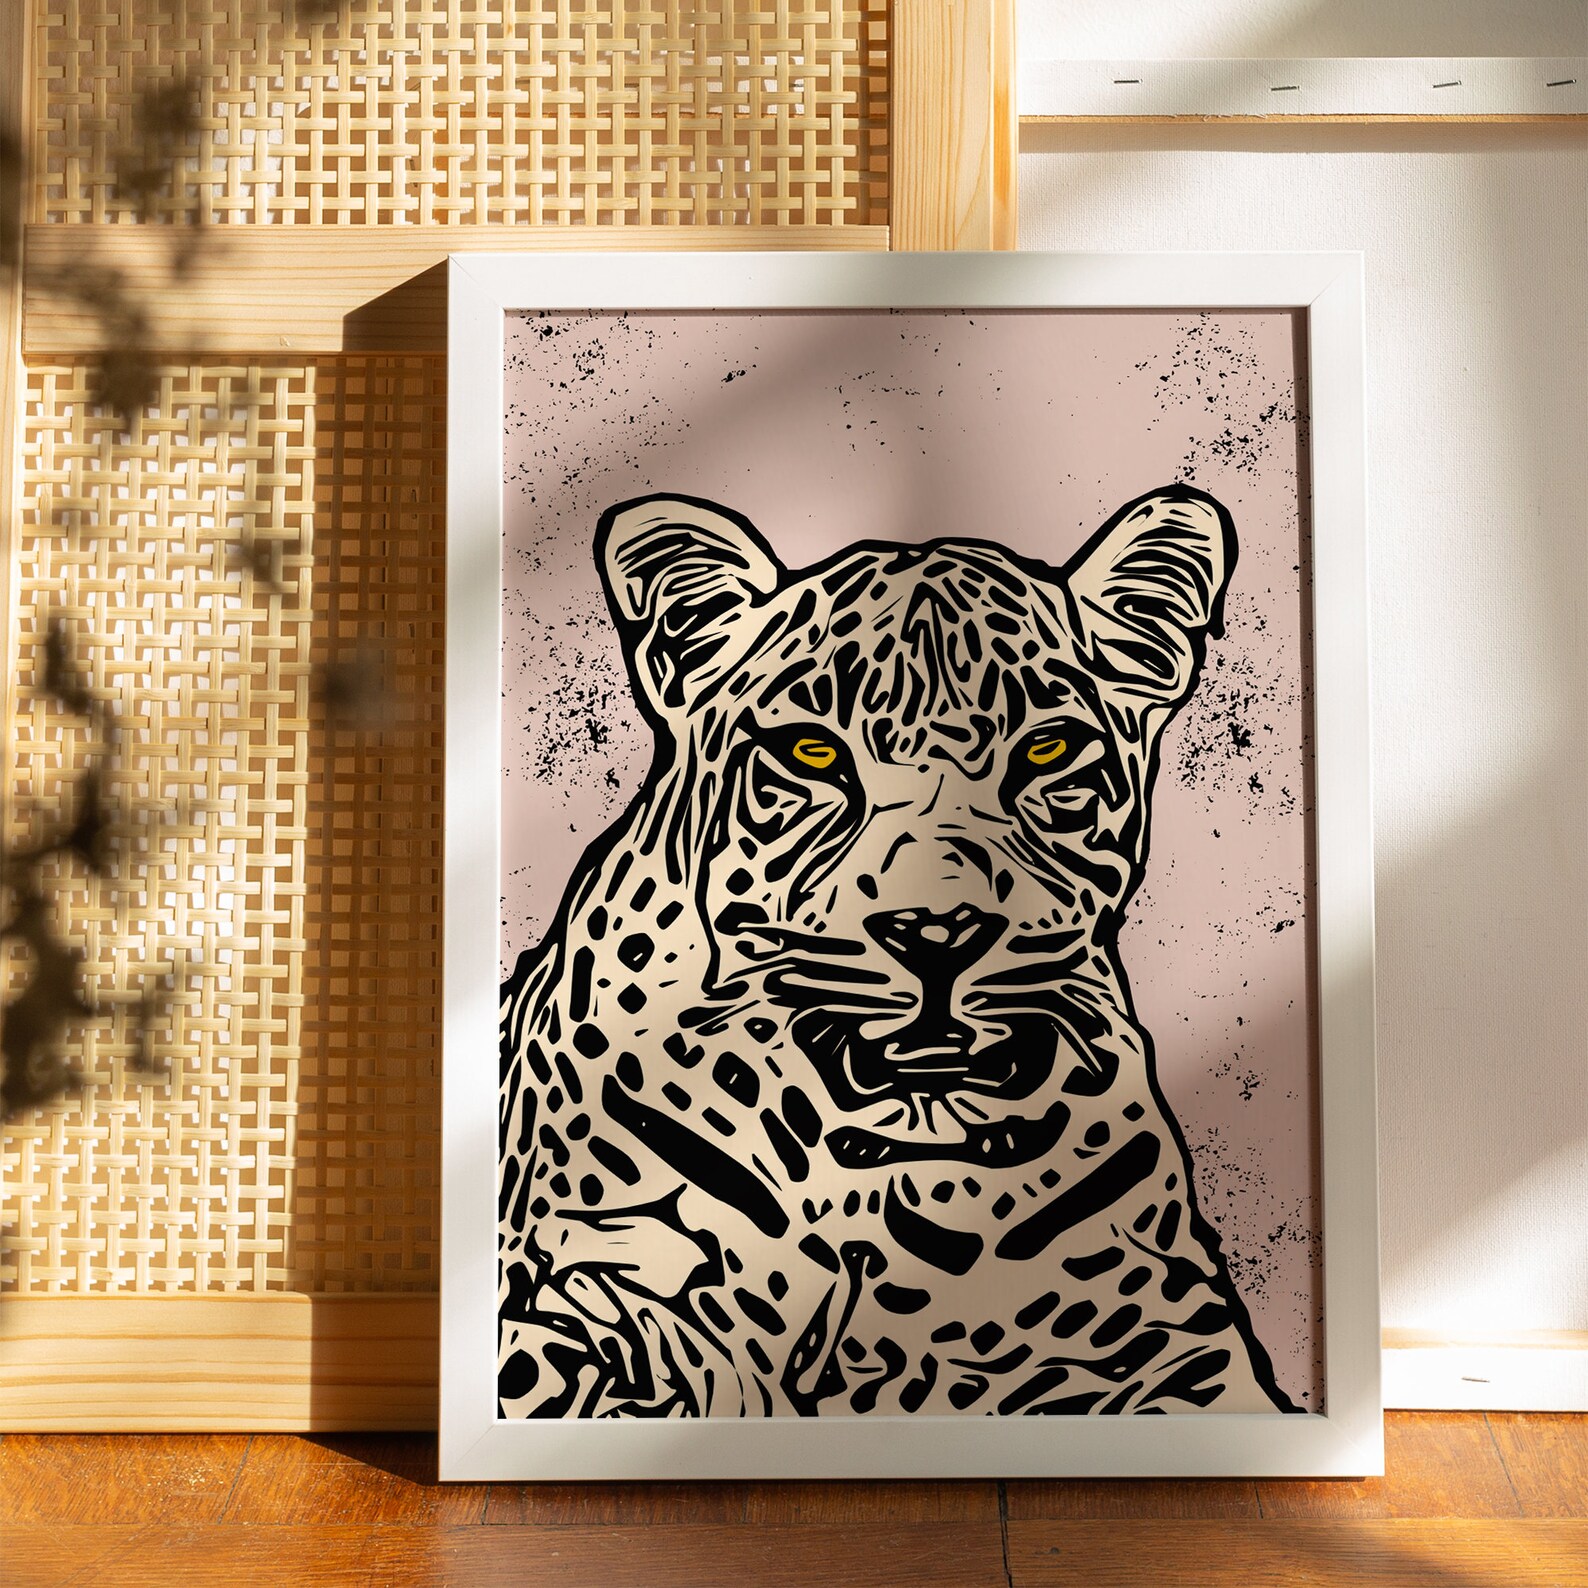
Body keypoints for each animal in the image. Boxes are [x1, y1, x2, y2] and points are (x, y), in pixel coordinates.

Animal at [498, 485, 1298, 1418]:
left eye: (1047, 750)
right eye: (813, 753)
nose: (938, 931)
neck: (899, 1162)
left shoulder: (1178, 1344)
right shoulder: (556, 1315)